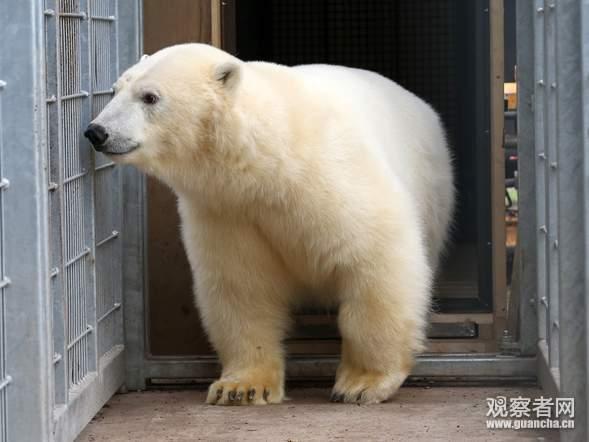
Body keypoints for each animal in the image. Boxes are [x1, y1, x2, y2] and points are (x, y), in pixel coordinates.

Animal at [85, 44, 452, 404]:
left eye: (150, 97)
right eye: (115, 89)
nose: (96, 132)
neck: (270, 159)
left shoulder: (331, 177)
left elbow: (375, 259)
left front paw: (362, 383)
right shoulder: (228, 211)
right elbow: (241, 288)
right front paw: (240, 387)